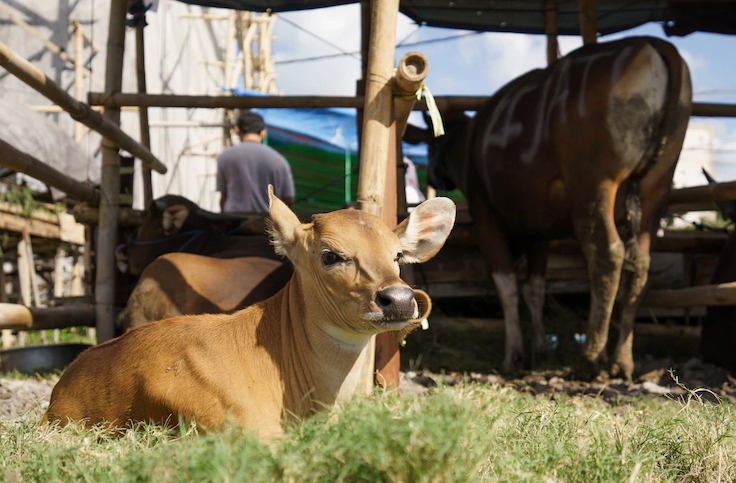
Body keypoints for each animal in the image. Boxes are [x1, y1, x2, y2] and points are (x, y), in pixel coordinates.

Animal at [420, 36, 688, 380]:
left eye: (431, 143)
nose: (431, 175)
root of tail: (649, 42)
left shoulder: (485, 218)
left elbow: (507, 286)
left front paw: (515, 355)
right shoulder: (539, 233)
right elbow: (535, 289)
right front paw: (540, 351)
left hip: (592, 185)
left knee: (607, 256)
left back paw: (590, 357)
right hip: (656, 187)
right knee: (639, 262)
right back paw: (620, 360)